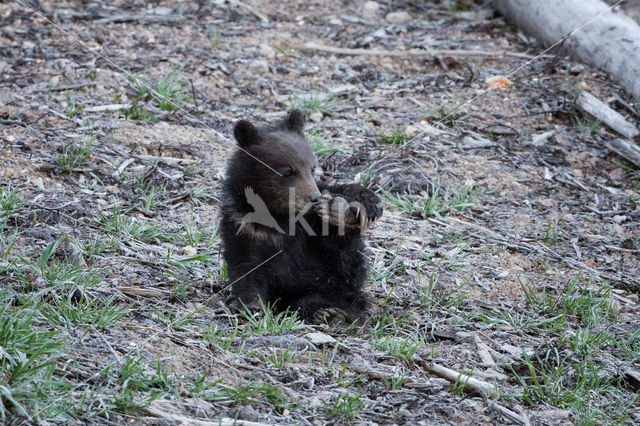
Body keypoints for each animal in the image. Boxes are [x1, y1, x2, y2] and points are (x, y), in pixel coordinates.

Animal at [220, 110, 382, 322]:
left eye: (312, 168)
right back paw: (327, 312)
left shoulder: (311, 223)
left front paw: (366, 202)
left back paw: (341, 214)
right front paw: (253, 307)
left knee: (346, 260)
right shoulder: (242, 225)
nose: (314, 198)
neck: (279, 215)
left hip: (337, 280)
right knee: (307, 301)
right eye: (288, 172)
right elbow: (246, 267)